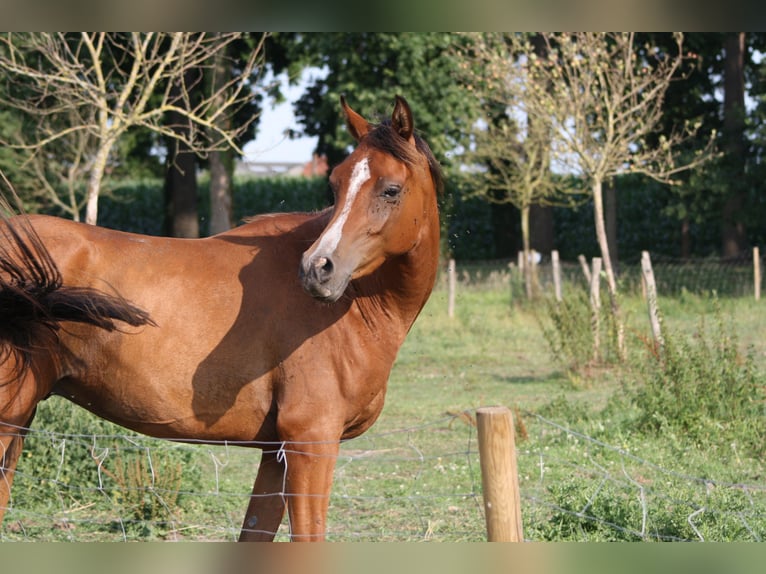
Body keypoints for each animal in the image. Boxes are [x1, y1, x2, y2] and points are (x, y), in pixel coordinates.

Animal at [0, 95, 442, 541]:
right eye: (335, 185)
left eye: (391, 189)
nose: (317, 269)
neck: (354, 307)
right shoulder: (310, 443)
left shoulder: (276, 454)